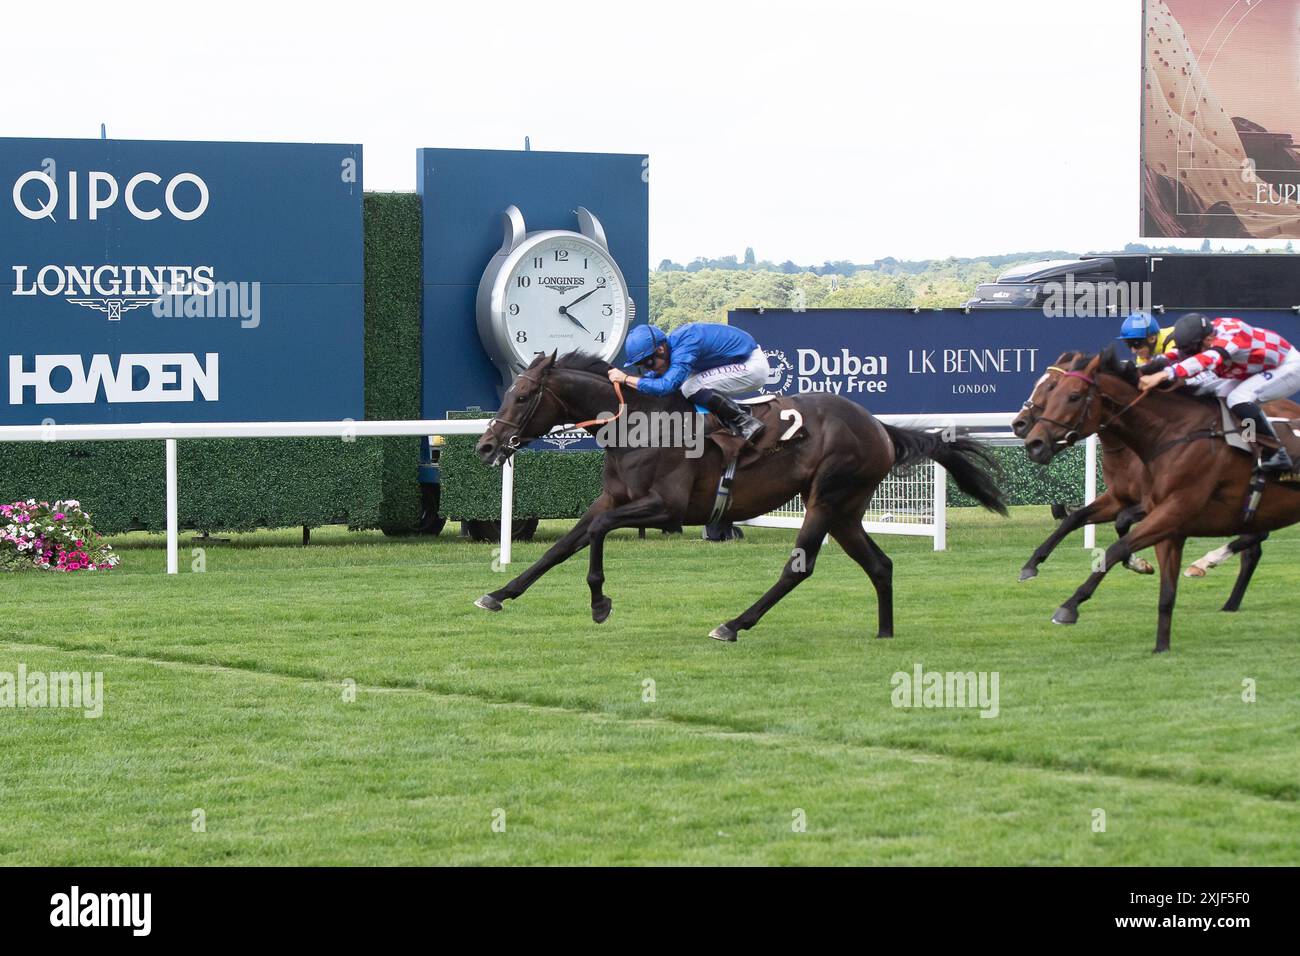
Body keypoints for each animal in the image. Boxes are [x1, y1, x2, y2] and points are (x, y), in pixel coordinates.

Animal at [473, 351, 1008, 642]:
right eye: (509, 392)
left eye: (523, 396)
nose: (486, 445)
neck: (639, 423)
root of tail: (878, 426)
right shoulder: (611, 499)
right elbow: (564, 545)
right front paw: (498, 594)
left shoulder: (666, 508)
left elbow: (599, 534)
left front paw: (600, 602)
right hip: (847, 510)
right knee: (880, 564)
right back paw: (884, 632)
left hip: (826, 499)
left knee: (799, 568)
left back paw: (732, 624)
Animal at [1019, 348, 1300, 655]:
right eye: (1051, 388)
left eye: (1069, 394)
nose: (1028, 436)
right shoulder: (1120, 498)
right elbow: (1075, 519)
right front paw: (1031, 565)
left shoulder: (1160, 508)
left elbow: (1119, 535)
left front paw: (1077, 601)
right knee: (1253, 546)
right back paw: (1228, 599)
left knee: (1254, 540)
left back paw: (1205, 564)